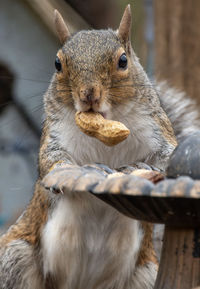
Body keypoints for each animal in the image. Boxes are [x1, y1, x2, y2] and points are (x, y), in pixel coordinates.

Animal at [0, 5, 199, 288]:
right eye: (57, 63)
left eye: (123, 61)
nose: (88, 95)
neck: (107, 119)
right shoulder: (55, 133)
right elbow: (50, 159)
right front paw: (67, 172)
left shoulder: (157, 129)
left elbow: (170, 157)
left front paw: (138, 168)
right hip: (15, 256)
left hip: (146, 273)